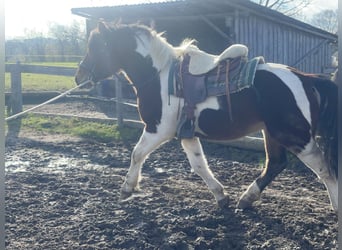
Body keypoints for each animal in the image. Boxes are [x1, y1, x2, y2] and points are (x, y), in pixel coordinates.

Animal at [73, 22, 338, 212]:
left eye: (95, 47)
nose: (79, 76)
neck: (160, 75)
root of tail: (305, 78)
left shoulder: (157, 129)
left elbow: (137, 153)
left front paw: (127, 188)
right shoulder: (187, 134)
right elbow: (199, 165)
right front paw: (221, 196)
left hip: (296, 138)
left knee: (324, 170)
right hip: (272, 133)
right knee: (276, 164)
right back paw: (246, 199)